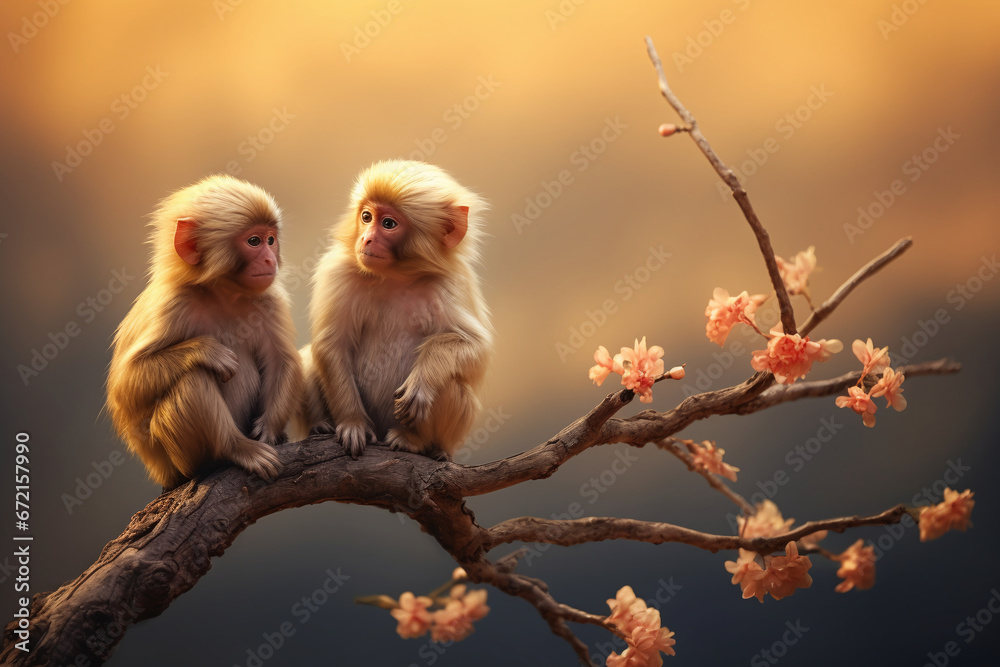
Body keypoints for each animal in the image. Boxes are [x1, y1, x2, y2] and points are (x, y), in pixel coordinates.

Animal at [107, 174, 304, 490]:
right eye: (254, 241)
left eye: (271, 240)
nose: (270, 260)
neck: (222, 293)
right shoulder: (173, 304)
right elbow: (125, 388)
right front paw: (205, 350)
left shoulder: (269, 301)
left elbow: (283, 362)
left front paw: (269, 430)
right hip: (176, 458)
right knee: (193, 377)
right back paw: (235, 448)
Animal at [296, 159, 493, 459]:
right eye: (366, 217)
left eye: (388, 224)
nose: (366, 239)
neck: (395, 277)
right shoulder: (338, 271)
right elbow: (331, 346)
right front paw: (353, 423)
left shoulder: (453, 283)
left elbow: (475, 348)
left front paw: (423, 380)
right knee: (309, 357)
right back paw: (320, 425)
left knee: (450, 379)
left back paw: (417, 441)